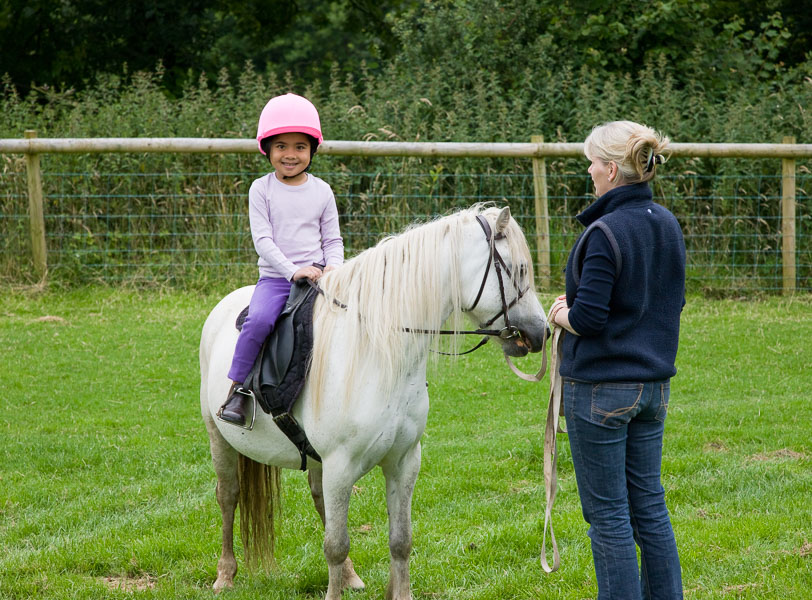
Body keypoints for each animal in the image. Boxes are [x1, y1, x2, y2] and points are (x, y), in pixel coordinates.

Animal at [200, 206, 548, 600]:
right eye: (519, 269)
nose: (541, 332)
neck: (379, 350)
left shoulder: (403, 461)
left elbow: (400, 541)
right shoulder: (341, 465)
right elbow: (335, 546)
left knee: (318, 500)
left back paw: (350, 576)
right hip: (219, 438)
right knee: (228, 496)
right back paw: (225, 574)